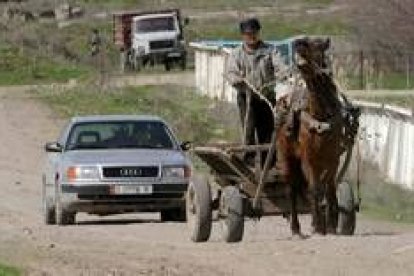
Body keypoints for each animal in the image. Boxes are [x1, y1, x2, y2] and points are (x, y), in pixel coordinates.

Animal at [276, 36, 348, 235]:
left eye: (317, 46)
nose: (298, 43)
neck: (321, 117)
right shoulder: (309, 159)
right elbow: (315, 189)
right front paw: (318, 224)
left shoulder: (333, 159)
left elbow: (329, 188)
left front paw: (331, 223)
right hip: (287, 157)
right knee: (292, 189)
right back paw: (295, 227)